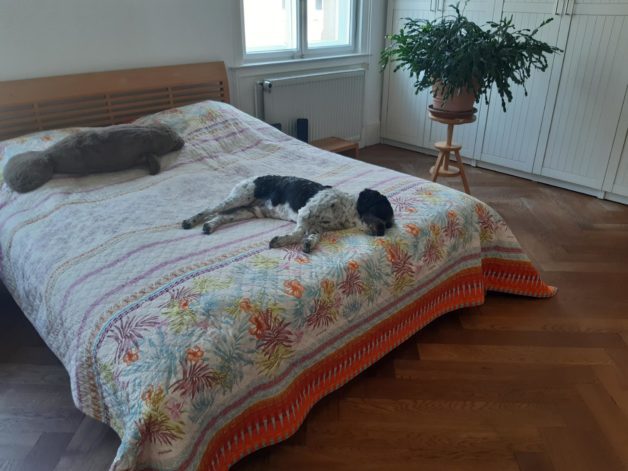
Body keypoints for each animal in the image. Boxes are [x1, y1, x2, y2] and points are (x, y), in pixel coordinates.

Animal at [182, 175, 392, 253]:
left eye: (390, 224)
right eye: (380, 211)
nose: (383, 231)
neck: (344, 210)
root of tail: (250, 178)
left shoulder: (317, 226)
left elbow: (313, 236)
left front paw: (309, 244)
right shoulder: (305, 214)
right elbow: (298, 233)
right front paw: (282, 241)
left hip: (247, 211)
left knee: (222, 216)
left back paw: (209, 226)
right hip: (238, 199)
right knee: (210, 210)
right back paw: (191, 221)